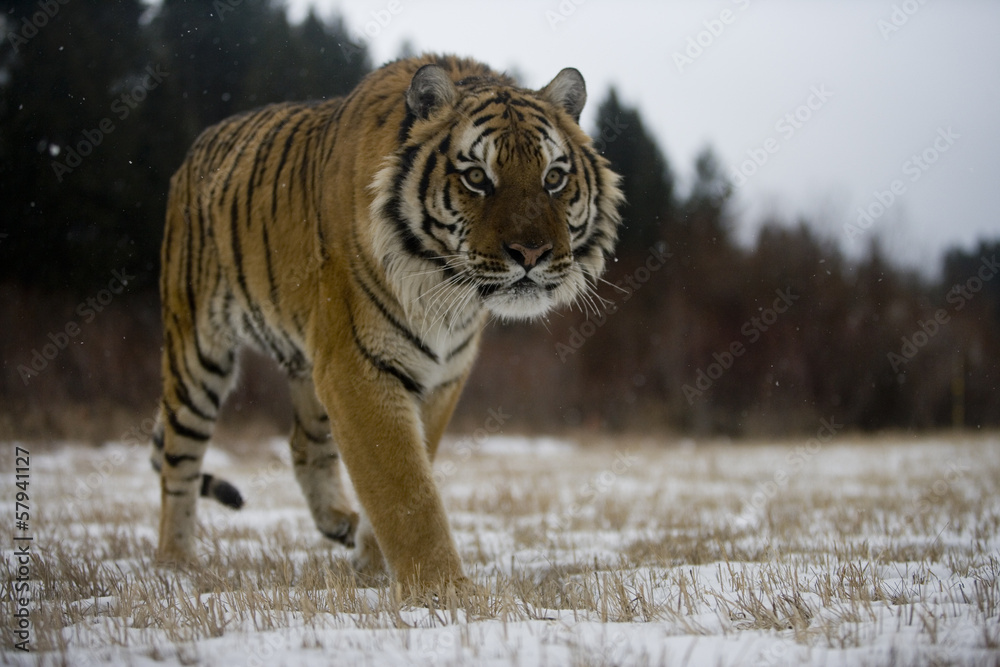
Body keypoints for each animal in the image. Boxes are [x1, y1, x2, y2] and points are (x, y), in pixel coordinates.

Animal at [150, 54, 623, 594]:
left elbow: (409, 472)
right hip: (196, 352)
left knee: (303, 442)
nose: (531, 253)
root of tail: (196, 149)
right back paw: (176, 563)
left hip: (309, 364)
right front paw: (444, 591)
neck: (447, 293)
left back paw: (339, 521)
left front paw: (373, 562)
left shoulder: (439, 376)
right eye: (477, 177)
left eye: (554, 177)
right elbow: (403, 488)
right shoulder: (356, 367)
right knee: (179, 463)